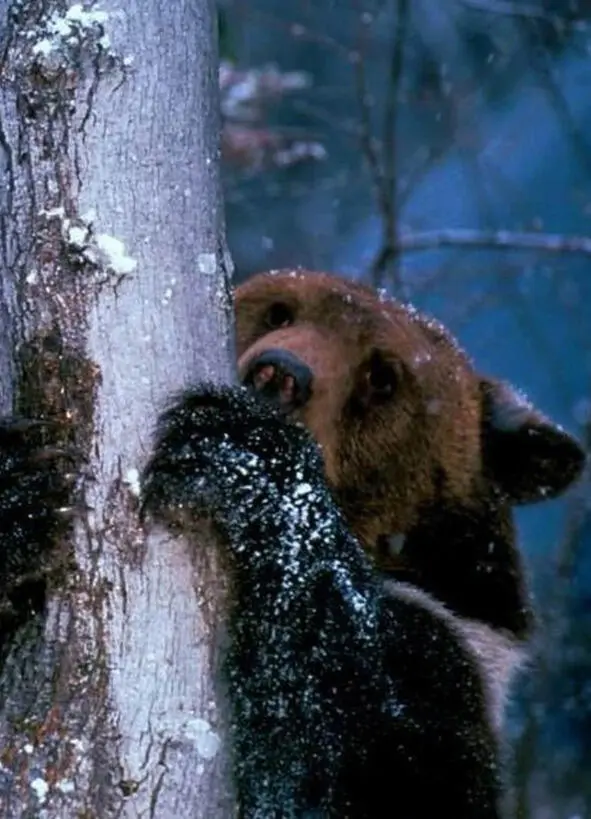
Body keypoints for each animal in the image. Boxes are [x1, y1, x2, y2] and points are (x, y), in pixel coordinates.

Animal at [140, 270, 588, 819]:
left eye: (383, 377)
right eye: (279, 311)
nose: (278, 375)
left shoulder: (450, 653)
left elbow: (373, 760)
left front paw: (243, 447)